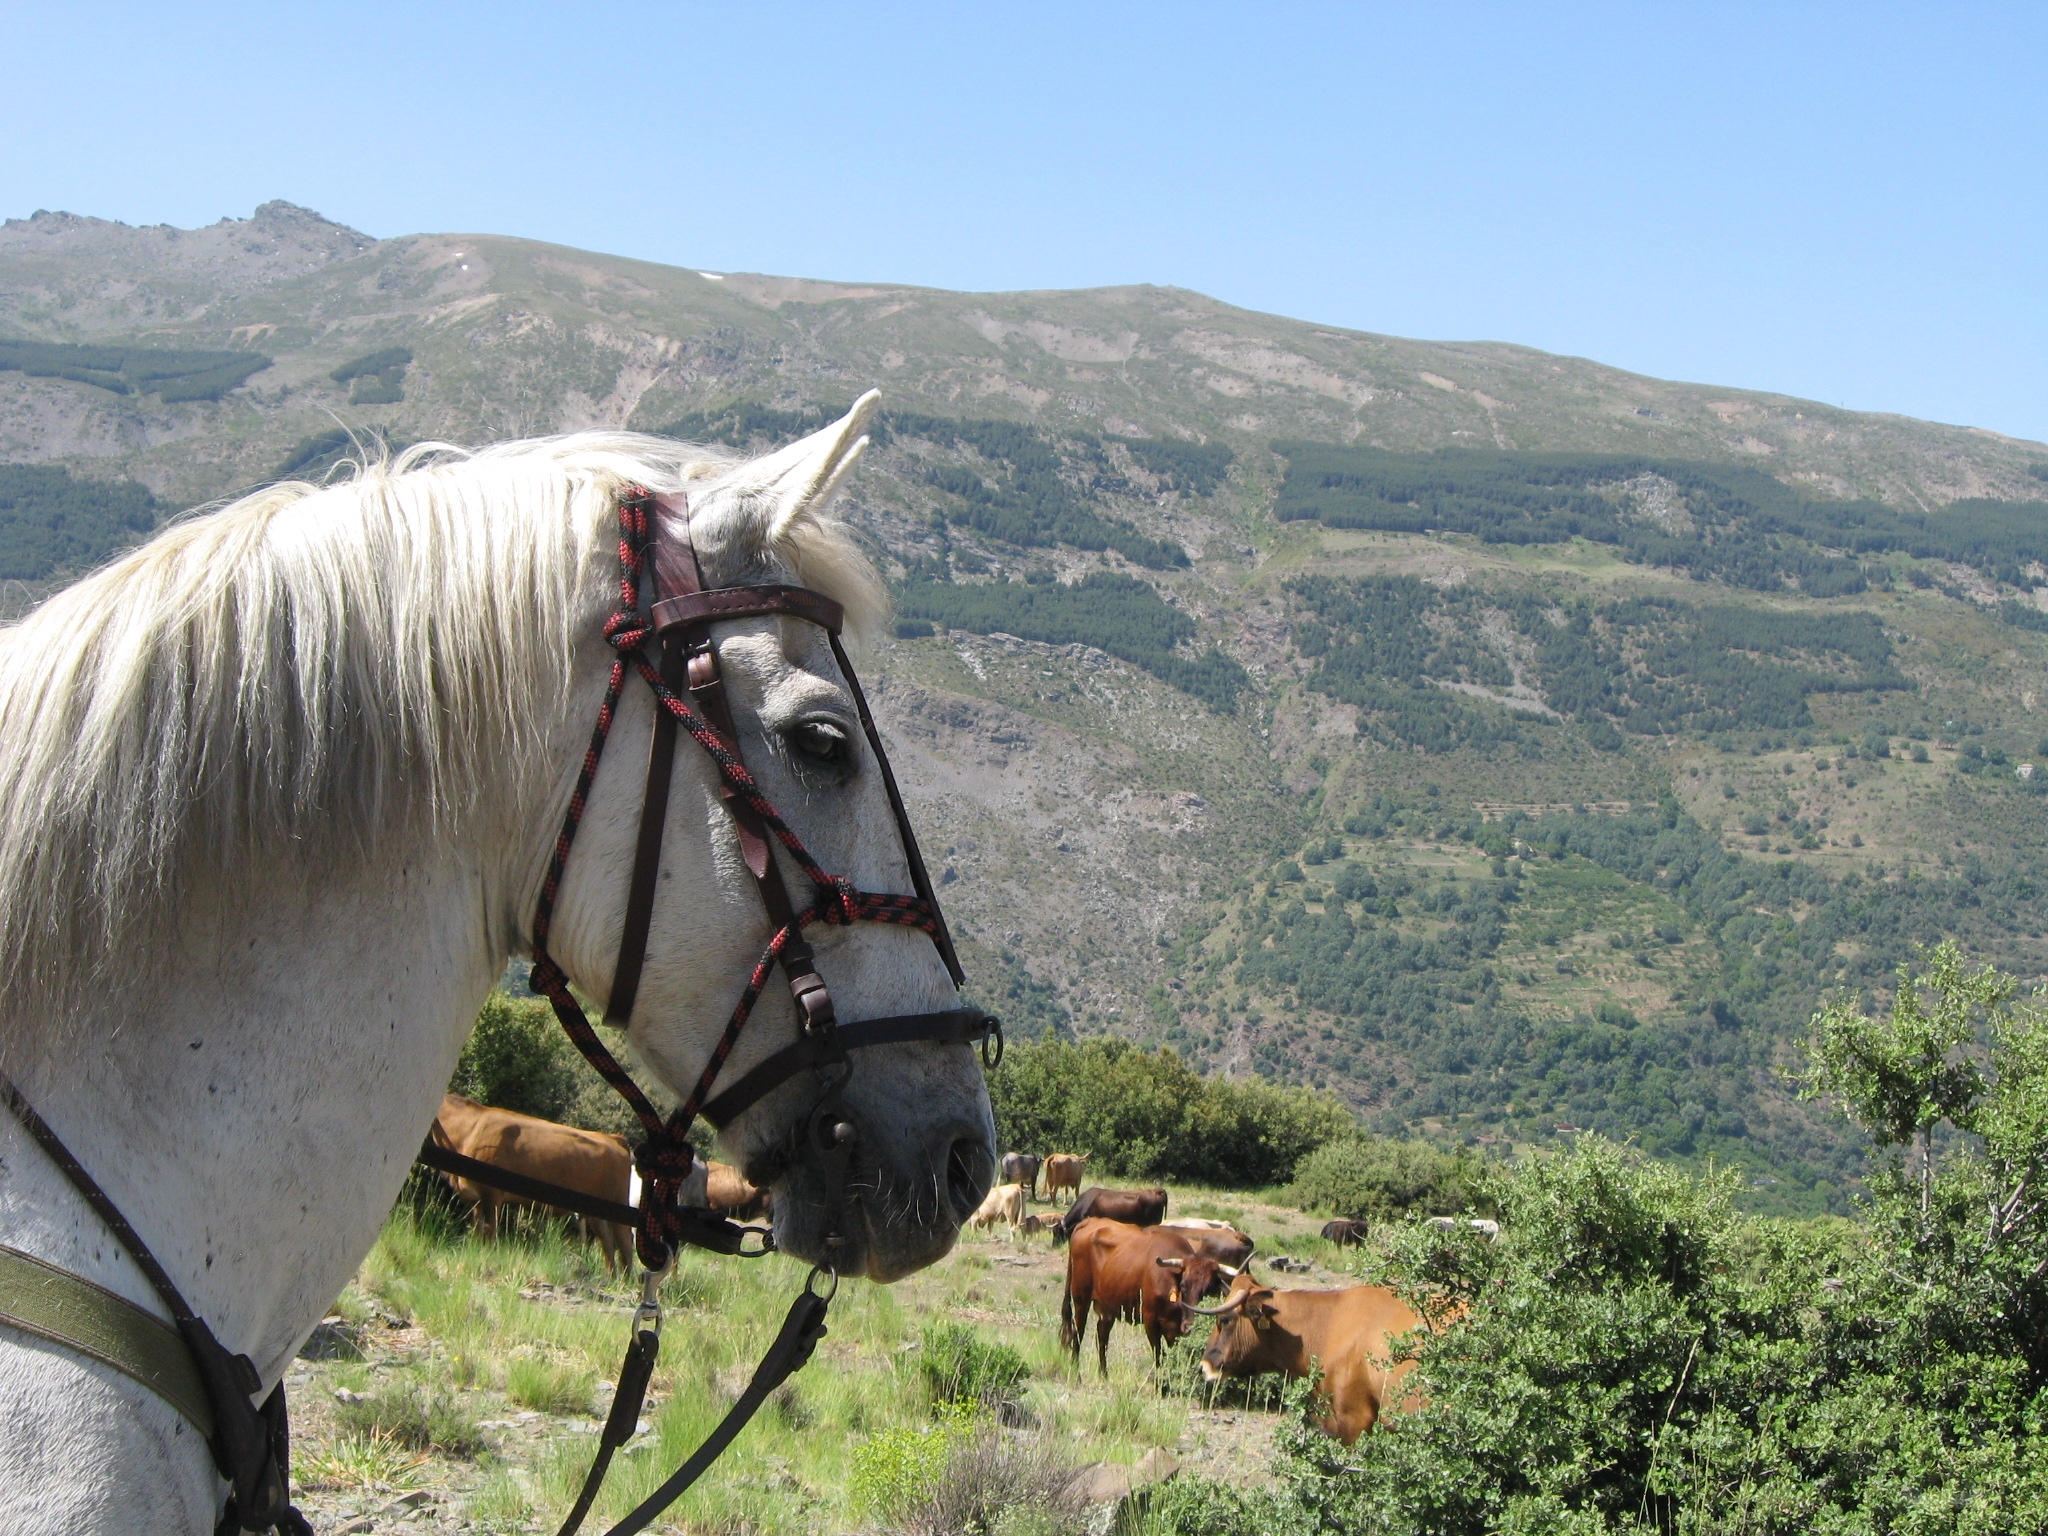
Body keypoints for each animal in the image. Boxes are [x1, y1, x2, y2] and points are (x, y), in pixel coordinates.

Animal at [1056, 1220, 1228, 1376]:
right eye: (1183, 1285)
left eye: (1208, 1290)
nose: (1191, 1325)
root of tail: (1089, 1221)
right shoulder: (1150, 1320)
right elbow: (1159, 1356)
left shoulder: (1174, 1330)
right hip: (1080, 1298)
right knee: (1078, 1334)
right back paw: (1075, 1374)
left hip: (1107, 1306)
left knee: (1102, 1338)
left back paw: (1103, 1375)